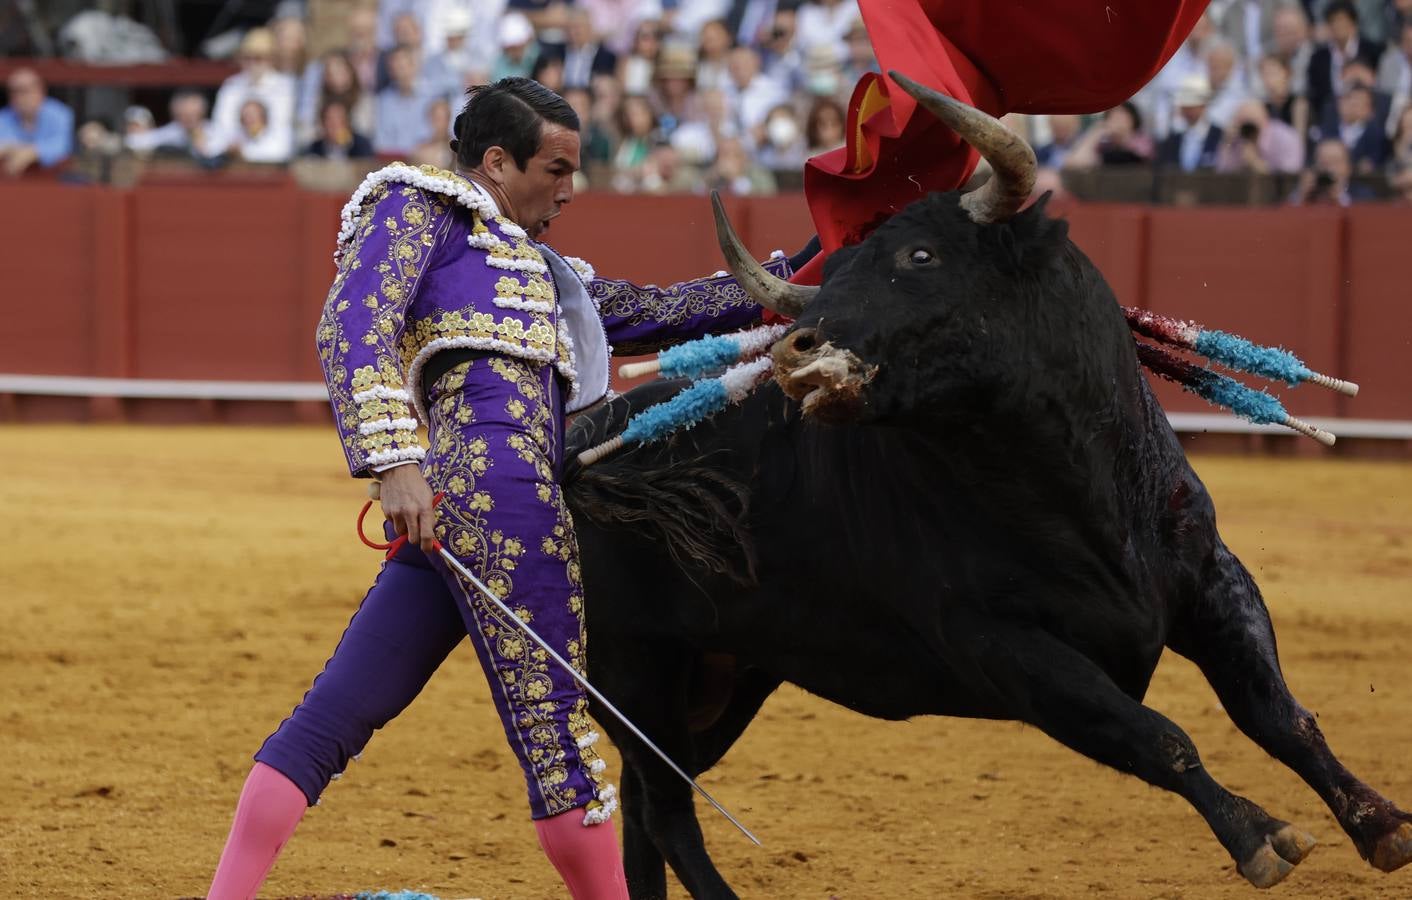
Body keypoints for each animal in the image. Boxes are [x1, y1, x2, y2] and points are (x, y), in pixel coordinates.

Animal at [561, 84, 1412, 898]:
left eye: (922, 255)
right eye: (832, 277)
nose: (795, 350)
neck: (1070, 486)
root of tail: (577, 441)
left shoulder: (1211, 578)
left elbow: (1278, 715)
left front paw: (1382, 825)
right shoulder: (1004, 649)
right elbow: (1158, 735)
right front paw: (1261, 836)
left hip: (727, 672)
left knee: (644, 810)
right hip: (637, 671)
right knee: (666, 811)